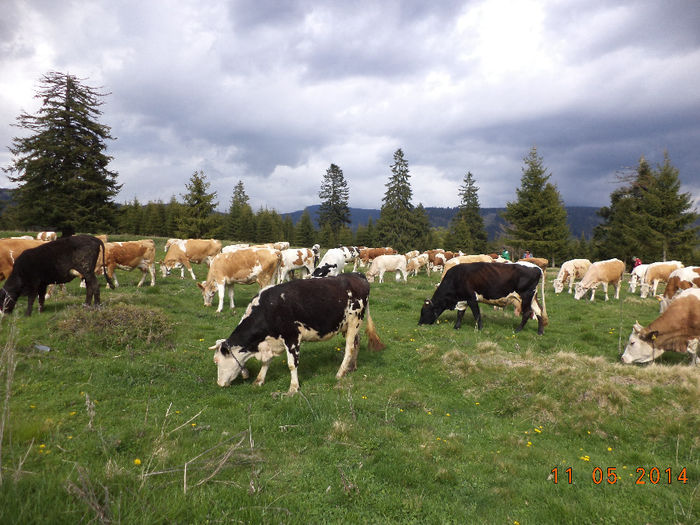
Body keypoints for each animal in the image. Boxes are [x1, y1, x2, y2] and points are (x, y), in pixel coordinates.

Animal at [209, 272, 382, 390]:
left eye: (216, 361)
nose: (219, 383)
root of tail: (357, 275)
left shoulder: (292, 337)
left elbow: (292, 364)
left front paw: (293, 388)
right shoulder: (270, 342)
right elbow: (266, 362)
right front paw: (259, 381)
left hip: (354, 321)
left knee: (349, 348)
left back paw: (340, 372)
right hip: (347, 325)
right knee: (357, 343)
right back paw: (351, 367)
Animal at [416, 260, 548, 334]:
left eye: (424, 311)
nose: (419, 324)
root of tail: (537, 267)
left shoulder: (471, 298)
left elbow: (477, 314)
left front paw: (479, 329)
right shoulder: (462, 300)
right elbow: (460, 314)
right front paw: (456, 327)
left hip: (525, 296)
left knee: (527, 312)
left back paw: (517, 330)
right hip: (532, 297)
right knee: (539, 311)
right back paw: (540, 332)